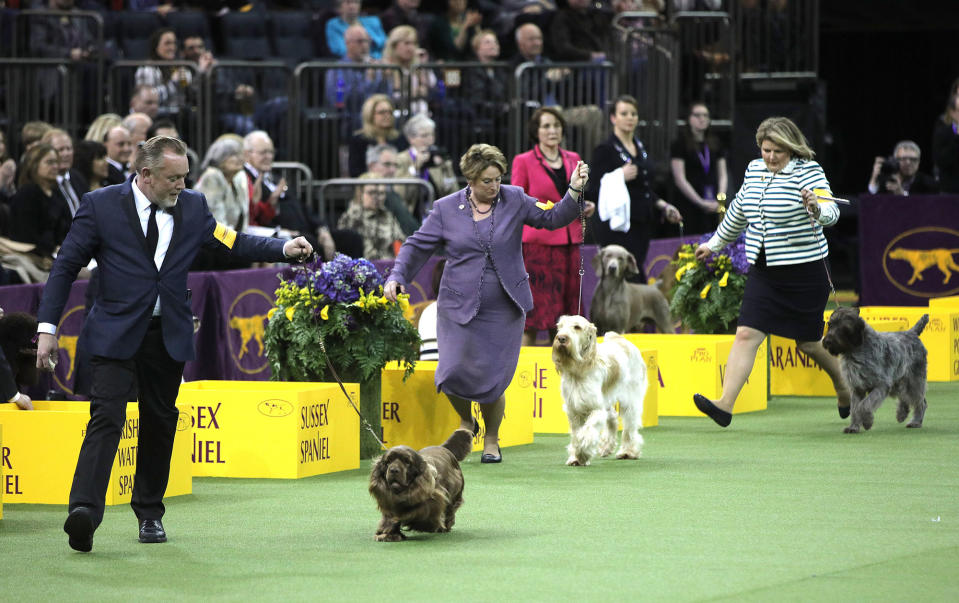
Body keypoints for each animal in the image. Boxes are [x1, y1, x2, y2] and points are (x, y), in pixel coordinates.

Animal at [552, 316, 648, 468]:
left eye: (577, 327)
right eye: (560, 327)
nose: (561, 338)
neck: (579, 368)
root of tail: (621, 339)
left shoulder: (595, 408)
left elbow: (587, 432)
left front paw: (582, 453)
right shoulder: (574, 411)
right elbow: (576, 435)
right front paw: (575, 457)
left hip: (630, 401)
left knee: (630, 427)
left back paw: (628, 452)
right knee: (613, 418)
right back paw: (607, 447)